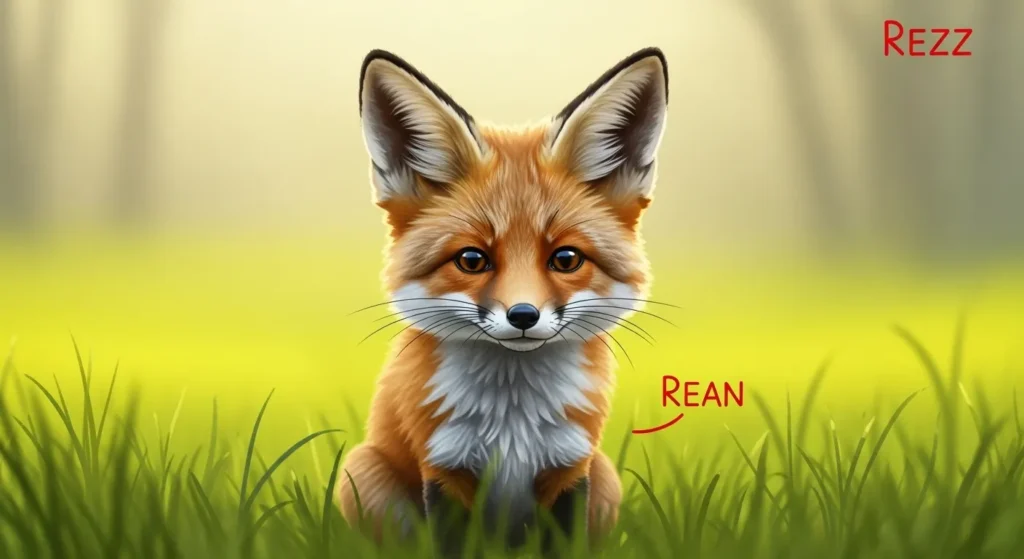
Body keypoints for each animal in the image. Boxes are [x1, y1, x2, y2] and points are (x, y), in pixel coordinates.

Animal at [338, 47, 669, 553]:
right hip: (363, 472)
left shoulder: (570, 467)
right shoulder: (444, 467)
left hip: (606, 477)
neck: (513, 420)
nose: (523, 315)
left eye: (566, 258)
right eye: (472, 260)